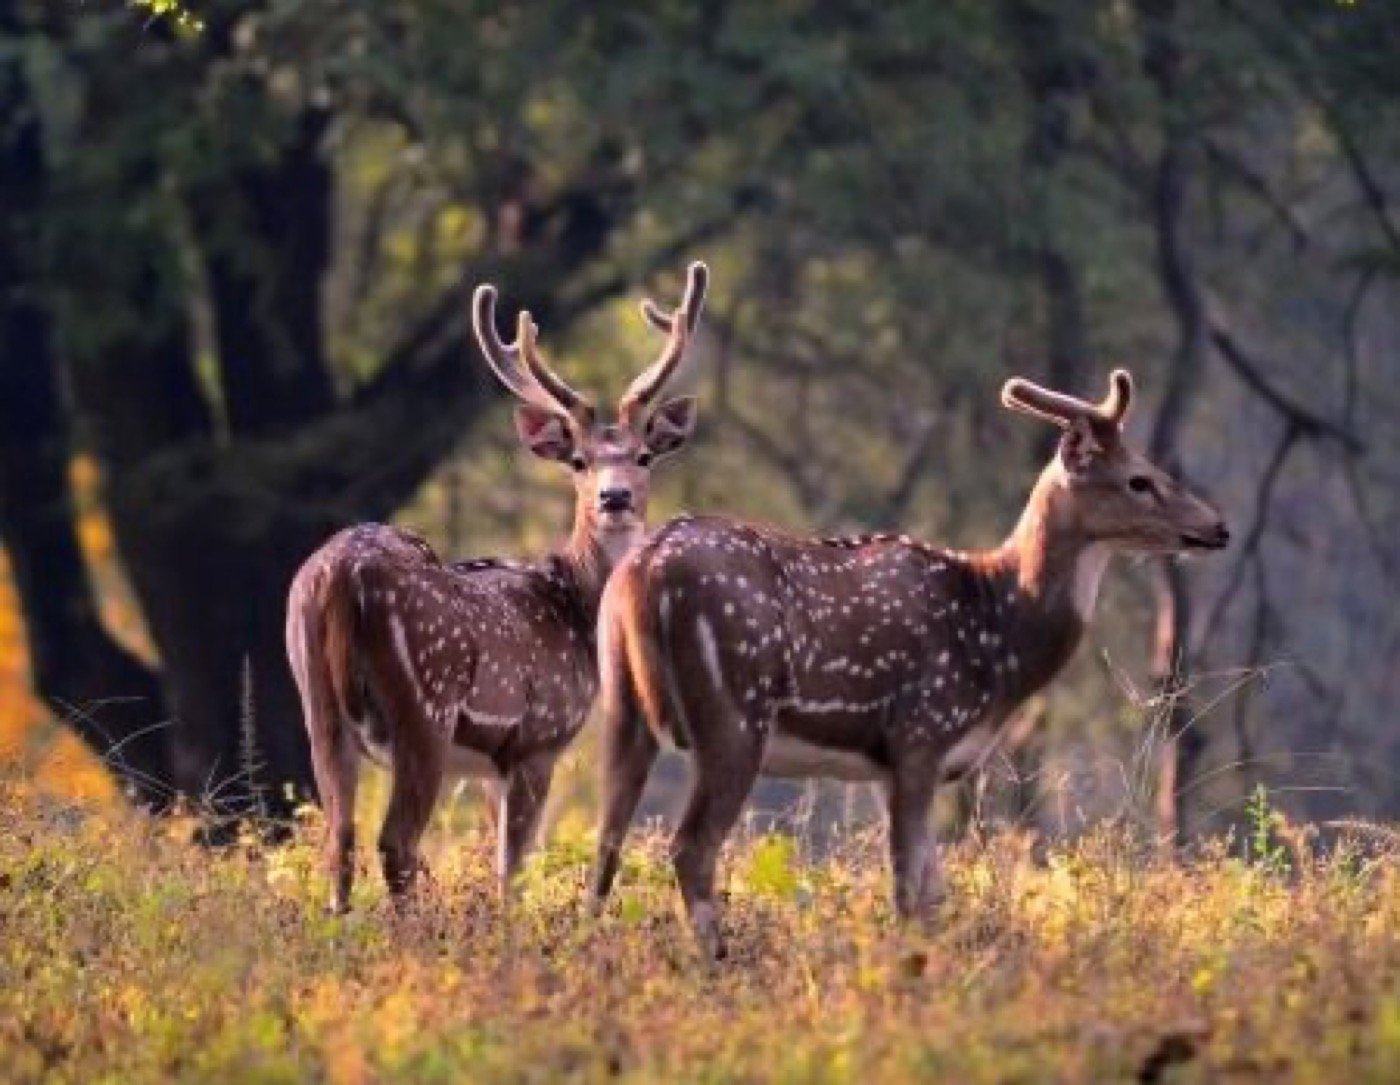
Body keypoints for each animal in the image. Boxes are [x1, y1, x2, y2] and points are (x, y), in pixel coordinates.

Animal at [285, 261, 708, 914]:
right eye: (579, 461)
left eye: (644, 456)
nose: (615, 498)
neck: (575, 606)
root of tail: (337, 578)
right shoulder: (539, 738)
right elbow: (514, 869)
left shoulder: (491, 766)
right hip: (424, 709)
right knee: (395, 842)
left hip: (317, 705)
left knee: (340, 838)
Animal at [588, 368, 1229, 958]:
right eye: (1140, 479)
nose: (1217, 527)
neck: (1000, 634)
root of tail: (642, 574)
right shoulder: (922, 733)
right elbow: (910, 892)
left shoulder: (888, 764)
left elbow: (933, 890)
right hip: (734, 712)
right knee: (691, 846)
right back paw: (716, 961)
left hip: (622, 704)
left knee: (606, 840)